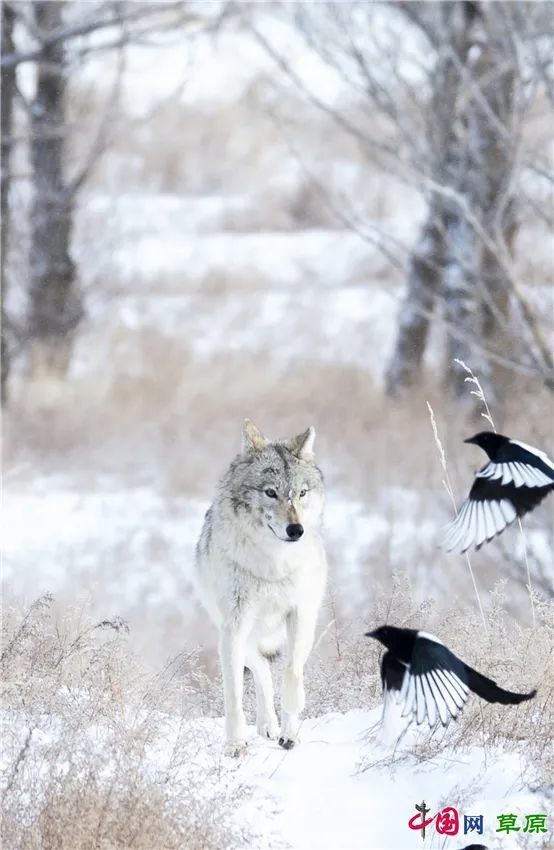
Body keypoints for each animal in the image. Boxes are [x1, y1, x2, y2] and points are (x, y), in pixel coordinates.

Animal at [193, 418, 326, 756]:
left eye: (301, 493)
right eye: (270, 492)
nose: (296, 530)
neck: (272, 565)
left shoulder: (301, 615)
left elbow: (292, 674)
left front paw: (290, 732)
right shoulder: (234, 627)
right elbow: (234, 695)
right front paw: (234, 745)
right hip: (239, 635)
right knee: (261, 671)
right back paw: (266, 724)